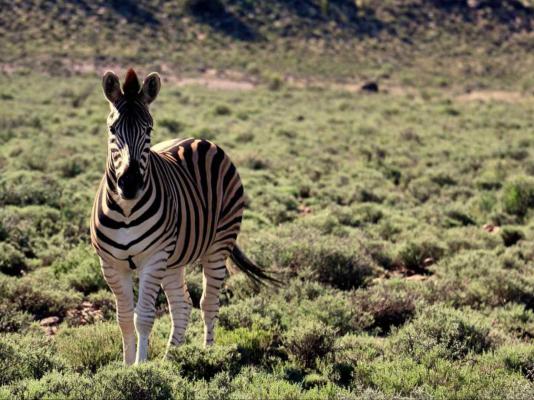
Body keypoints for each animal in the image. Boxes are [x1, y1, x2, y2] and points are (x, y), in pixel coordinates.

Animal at [90, 69, 274, 366]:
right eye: (112, 130)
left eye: (149, 129)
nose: (129, 184)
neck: (126, 209)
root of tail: (200, 139)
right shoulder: (111, 265)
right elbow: (124, 319)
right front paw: (126, 367)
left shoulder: (153, 259)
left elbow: (143, 318)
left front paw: (141, 368)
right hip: (173, 260)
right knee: (182, 306)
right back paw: (170, 360)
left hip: (217, 245)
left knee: (208, 303)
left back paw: (207, 355)